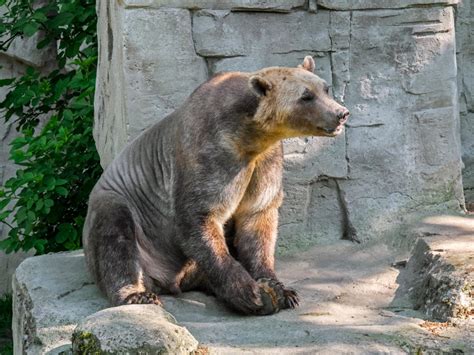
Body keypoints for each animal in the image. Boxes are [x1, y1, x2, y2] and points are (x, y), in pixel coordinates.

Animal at [81, 57, 350, 316]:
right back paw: (137, 294)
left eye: (325, 88)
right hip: (126, 212)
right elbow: (201, 216)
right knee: (116, 237)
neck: (249, 136)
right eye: (306, 96)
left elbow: (258, 218)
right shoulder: (212, 155)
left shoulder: (265, 162)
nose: (341, 113)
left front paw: (281, 289)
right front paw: (251, 292)